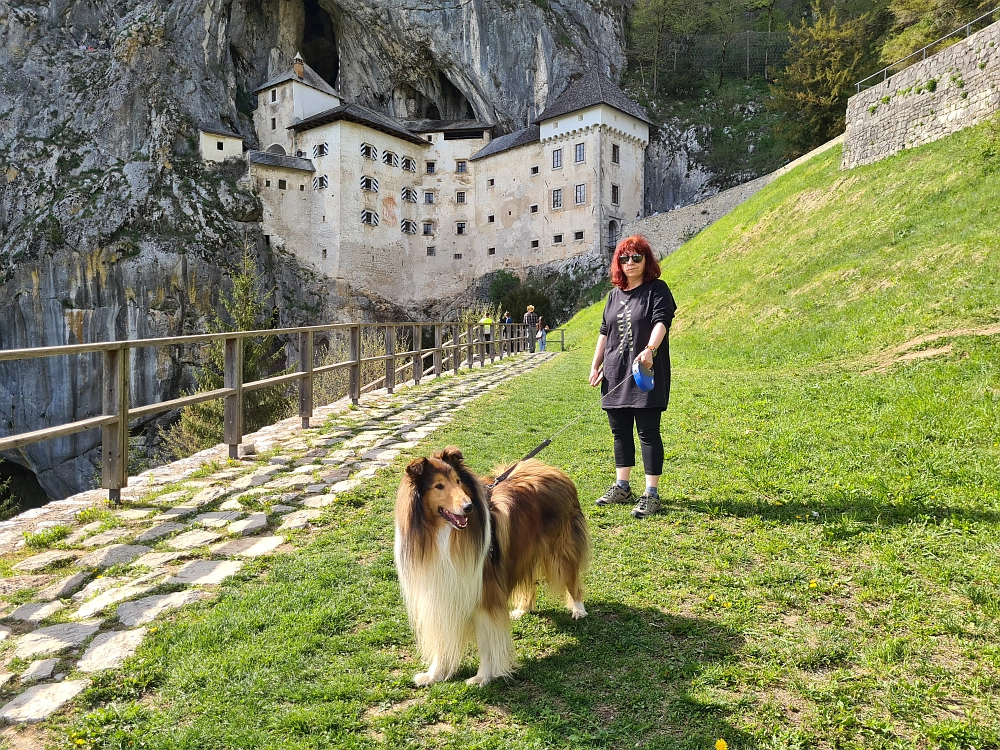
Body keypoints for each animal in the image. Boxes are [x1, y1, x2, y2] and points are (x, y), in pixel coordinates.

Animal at [394, 446, 588, 688]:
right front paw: (434, 674)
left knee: (572, 580)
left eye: (458, 481)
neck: (443, 536)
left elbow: (486, 644)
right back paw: (523, 608)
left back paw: (578, 610)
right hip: (523, 551)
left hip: (561, 552)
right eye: (439, 485)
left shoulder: (484, 597)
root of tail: (551, 469)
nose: (469, 507)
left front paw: (483, 677)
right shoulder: (441, 594)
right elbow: (442, 641)